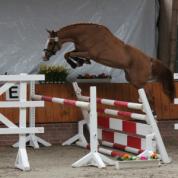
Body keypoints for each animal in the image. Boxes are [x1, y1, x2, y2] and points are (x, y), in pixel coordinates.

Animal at [42, 23, 175, 102]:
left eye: (51, 42)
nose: (44, 57)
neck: (85, 34)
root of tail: (149, 59)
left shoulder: (90, 53)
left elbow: (70, 54)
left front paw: (77, 63)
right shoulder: (80, 50)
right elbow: (68, 54)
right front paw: (80, 62)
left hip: (138, 81)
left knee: (150, 95)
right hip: (132, 80)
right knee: (146, 94)